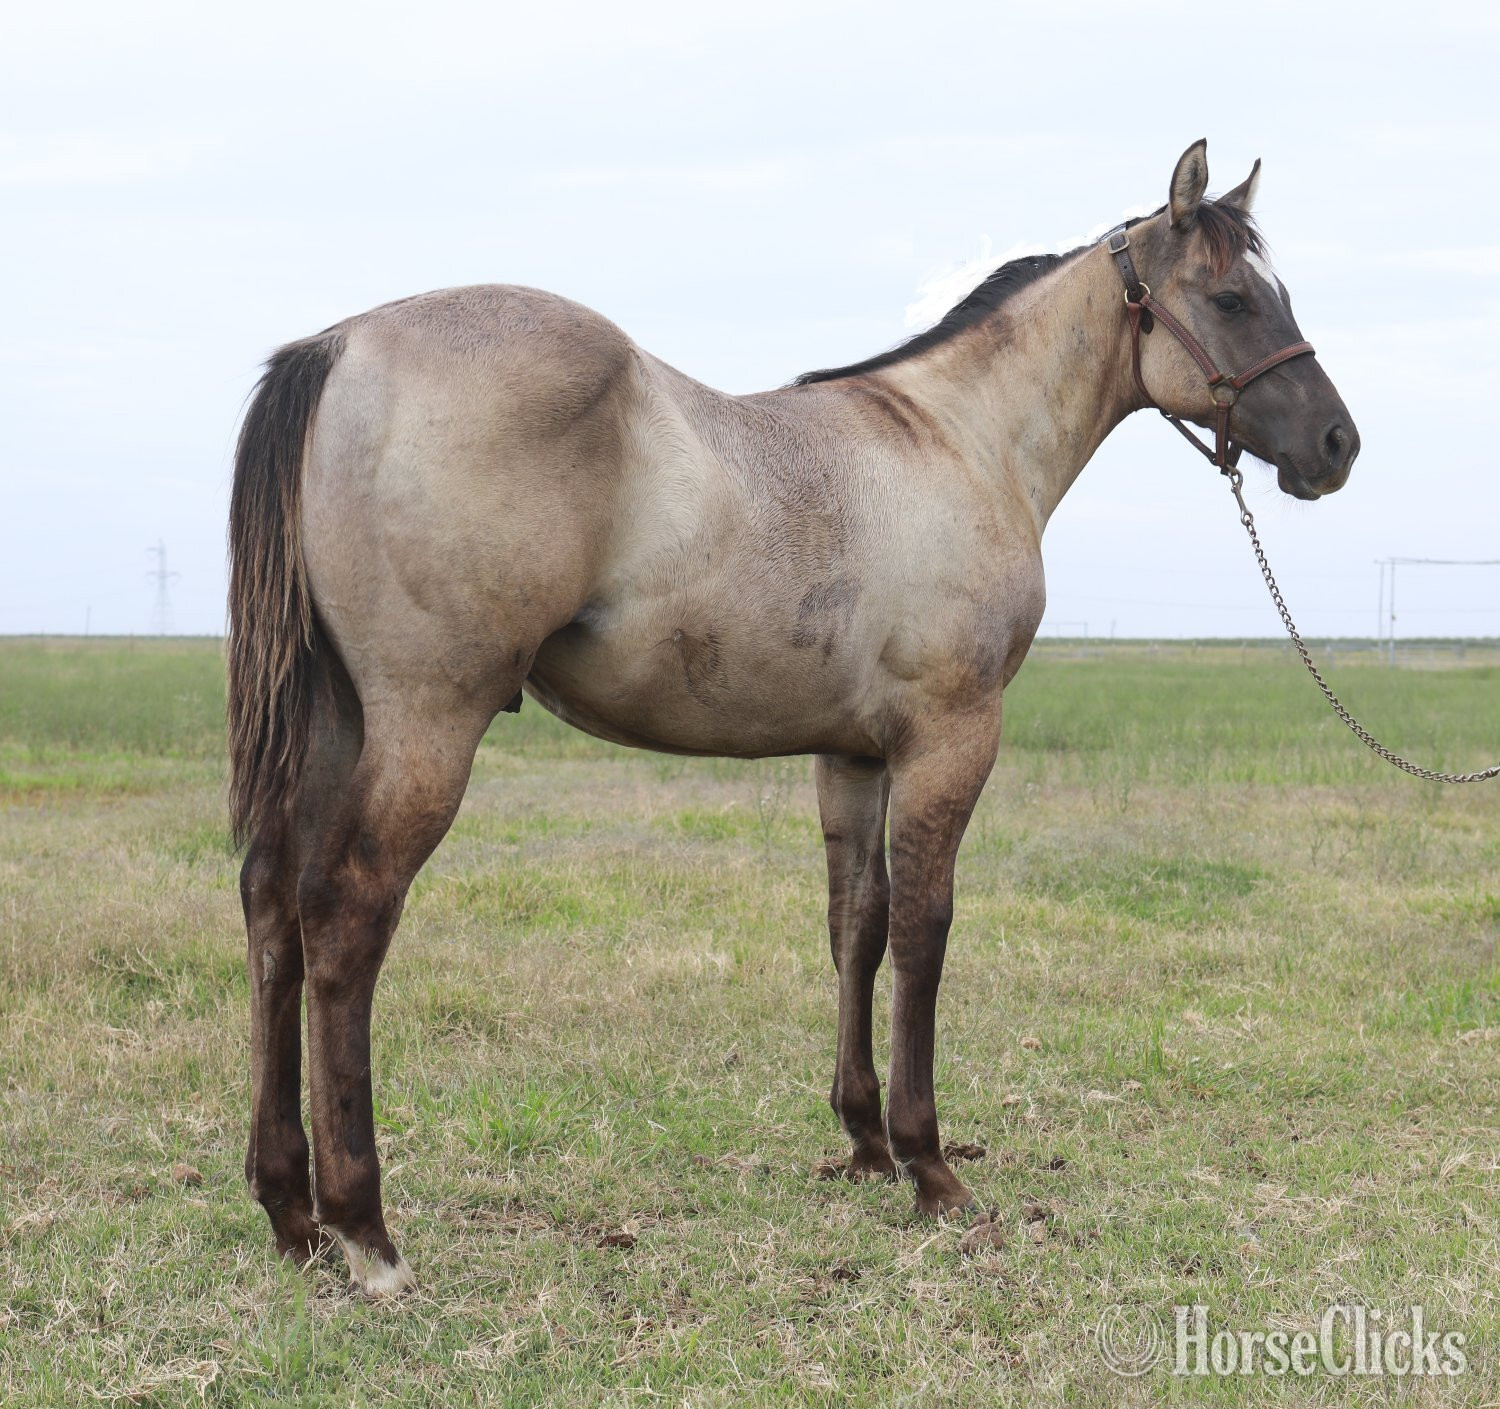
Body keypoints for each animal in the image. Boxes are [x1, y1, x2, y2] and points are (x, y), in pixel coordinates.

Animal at [227, 140, 1359, 1296]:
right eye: (1231, 298)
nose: (1336, 442)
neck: (959, 441)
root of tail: (340, 344)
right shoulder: (950, 739)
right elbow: (924, 927)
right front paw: (929, 1163)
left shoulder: (853, 755)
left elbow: (856, 923)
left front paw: (864, 1140)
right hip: (427, 726)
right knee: (347, 916)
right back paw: (365, 1229)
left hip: (338, 726)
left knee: (274, 904)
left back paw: (290, 1209)